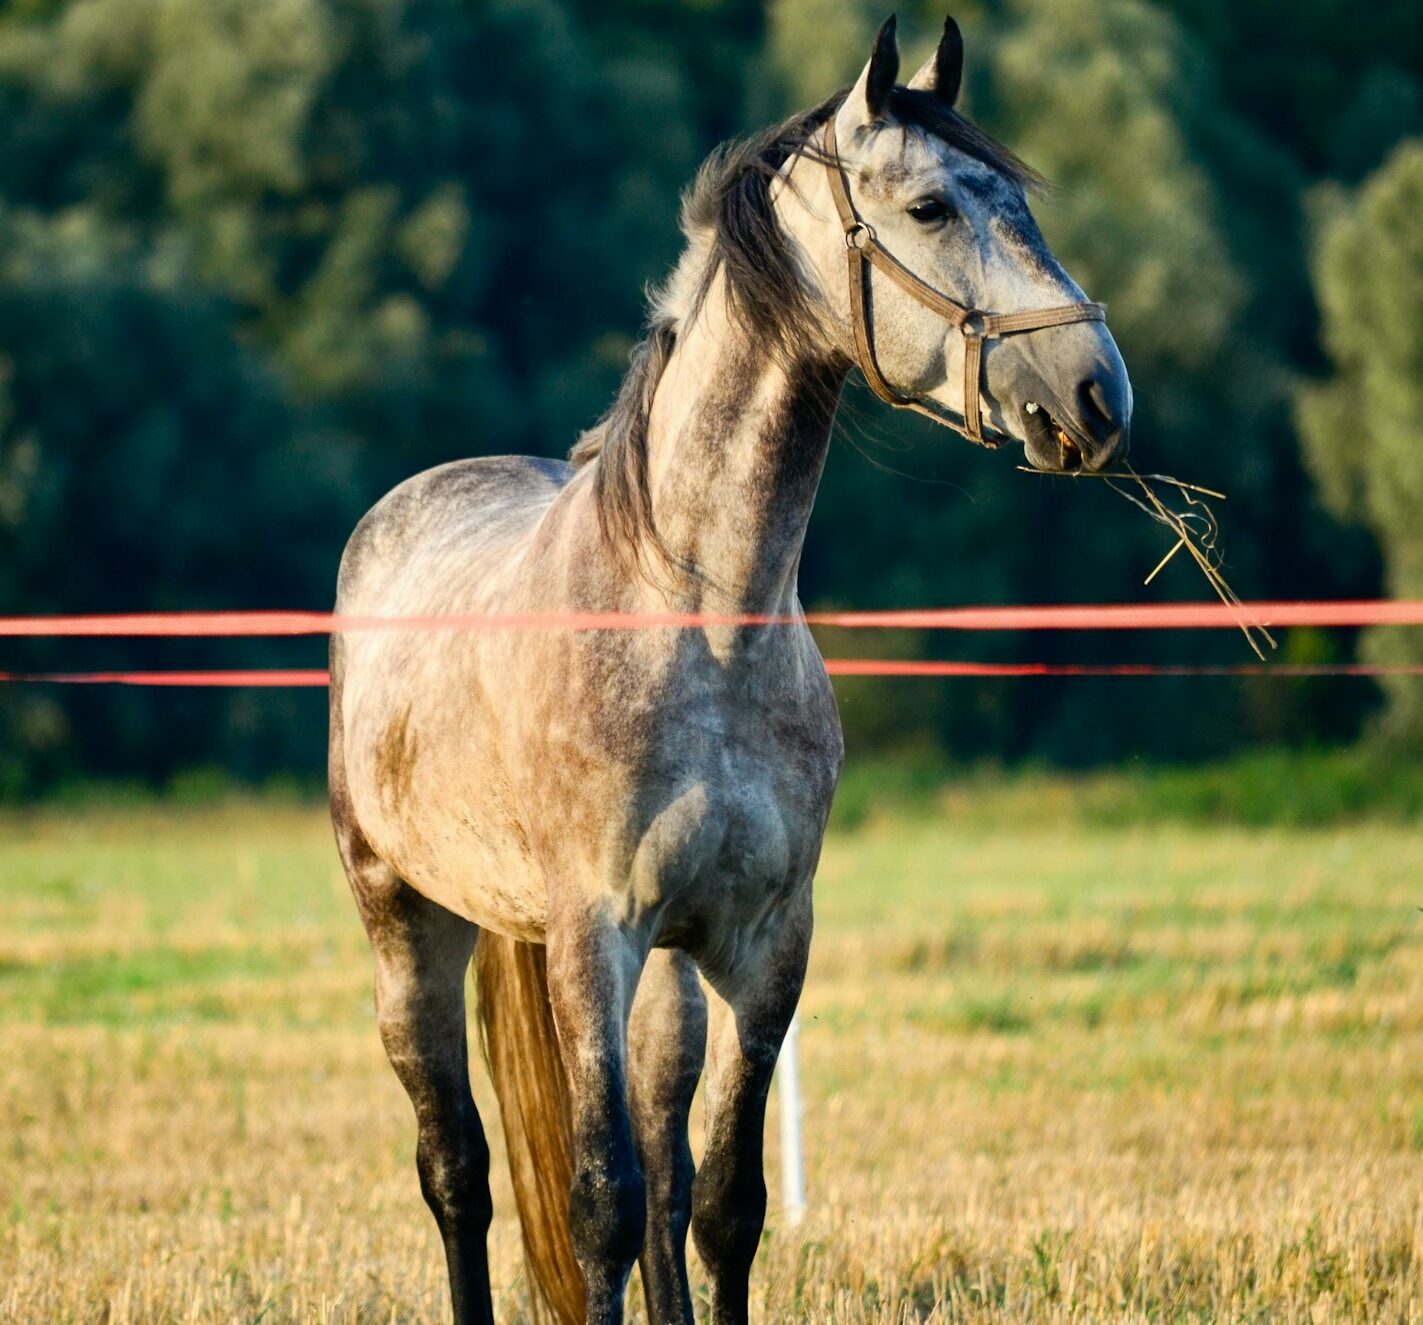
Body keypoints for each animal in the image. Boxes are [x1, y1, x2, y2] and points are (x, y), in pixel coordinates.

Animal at [327, 12, 1127, 1325]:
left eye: (1018, 201)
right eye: (927, 208)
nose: (1096, 393)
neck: (699, 621)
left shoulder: (761, 944)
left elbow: (720, 1202)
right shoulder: (592, 937)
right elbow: (597, 1204)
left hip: (663, 976)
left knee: (661, 1167)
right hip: (406, 924)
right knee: (458, 1171)